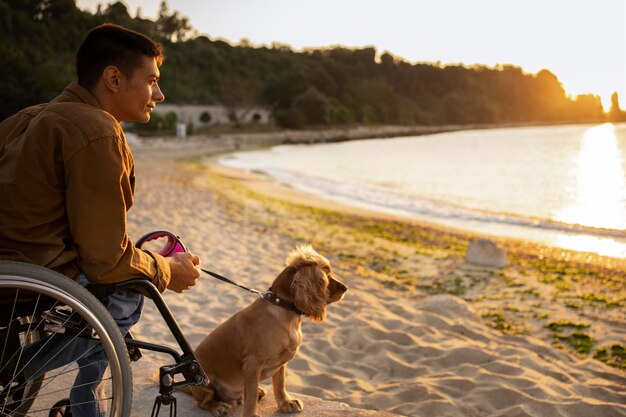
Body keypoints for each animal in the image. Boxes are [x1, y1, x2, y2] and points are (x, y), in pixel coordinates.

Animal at [185, 244, 346, 416]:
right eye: (326, 275)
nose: (345, 288)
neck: (286, 311)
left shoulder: (282, 361)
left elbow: (280, 384)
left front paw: (286, 403)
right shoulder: (252, 364)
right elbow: (251, 395)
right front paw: (251, 414)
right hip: (205, 381)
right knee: (203, 402)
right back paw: (219, 407)